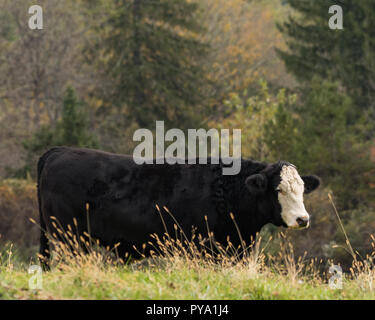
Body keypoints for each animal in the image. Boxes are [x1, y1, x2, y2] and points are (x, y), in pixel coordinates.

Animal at [37, 146, 320, 266]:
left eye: (302, 189)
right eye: (278, 190)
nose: (303, 219)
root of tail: (61, 150)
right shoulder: (201, 246)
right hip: (69, 236)